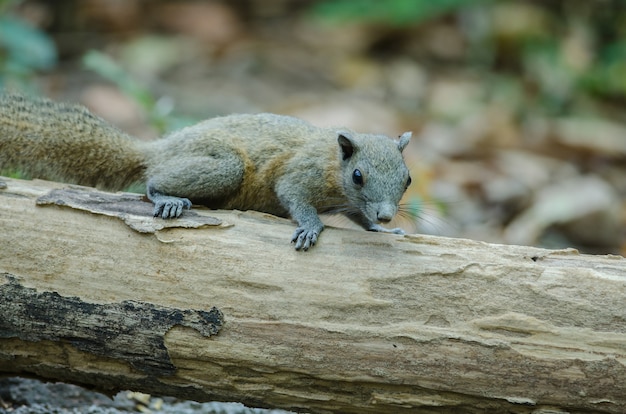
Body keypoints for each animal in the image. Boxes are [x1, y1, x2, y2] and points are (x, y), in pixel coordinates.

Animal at [0, 93, 410, 249]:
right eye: (358, 176)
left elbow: (358, 216)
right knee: (151, 181)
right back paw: (166, 198)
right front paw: (310, 227)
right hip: (224, 166)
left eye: (407, 179)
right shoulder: (299, 174)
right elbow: (294, 196)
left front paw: (382, 229)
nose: (387, 215)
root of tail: (161, 148)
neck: (332, 162)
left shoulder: (351, 204)